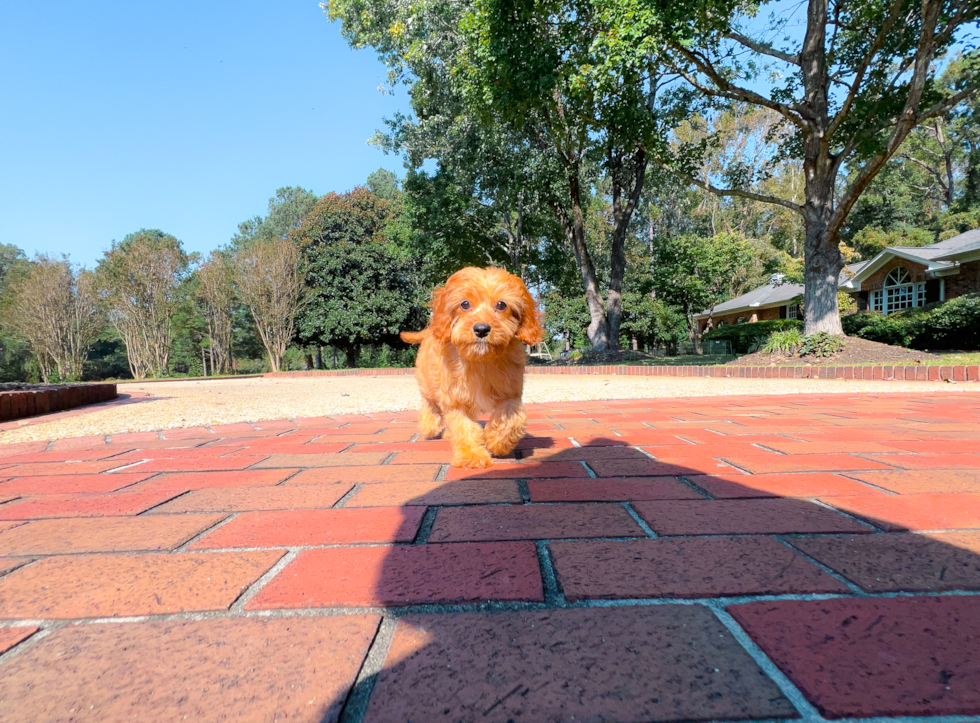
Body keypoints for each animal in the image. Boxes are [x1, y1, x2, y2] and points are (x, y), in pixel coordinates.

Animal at [402, 268, 548, 470]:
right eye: (465, 304)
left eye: (501, 305)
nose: (481, 329)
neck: (481, 359)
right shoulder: (455, 398)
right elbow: (464, 427)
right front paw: (472, 456)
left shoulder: (511, 392)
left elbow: (512, 417)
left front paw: (497, 442)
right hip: (428, 381)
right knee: (430, 404)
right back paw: (430, 425)